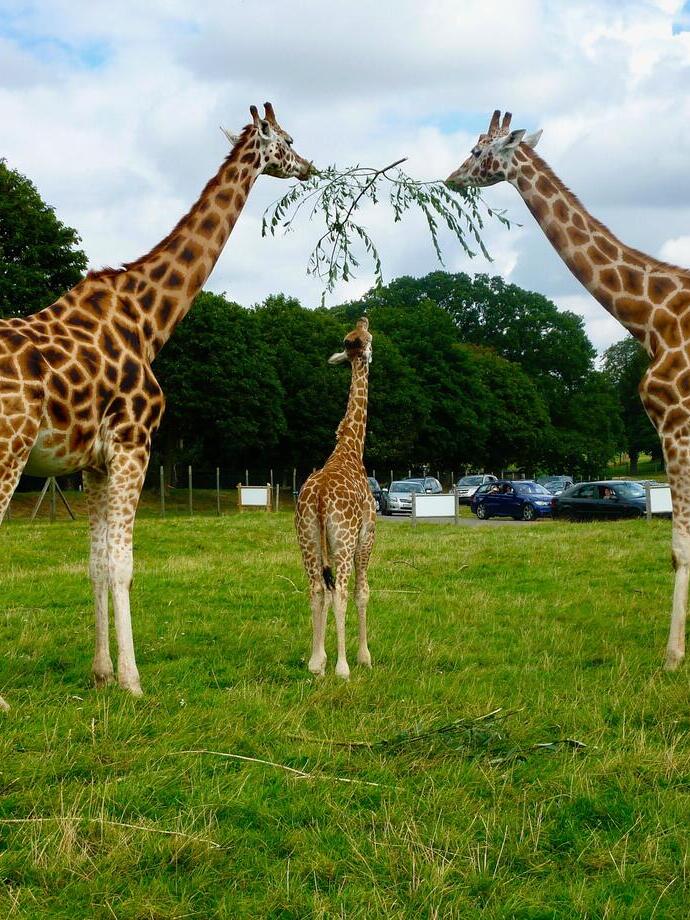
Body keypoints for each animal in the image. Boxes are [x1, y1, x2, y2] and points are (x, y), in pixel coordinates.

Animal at [0, 103, 313, 711]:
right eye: (286, 139)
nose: (311, 166)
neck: (149, 320)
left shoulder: (93, 463)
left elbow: (96, 564)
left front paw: (100, 673)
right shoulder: (133, 444)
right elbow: (122, 565)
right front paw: (133, 680)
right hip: (10, 449)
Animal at [446, 109, 690, 670]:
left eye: (477, 150)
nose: (450, 178)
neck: (648, 320)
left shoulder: (674, 422)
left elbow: (680, 547)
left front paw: (672, 657)